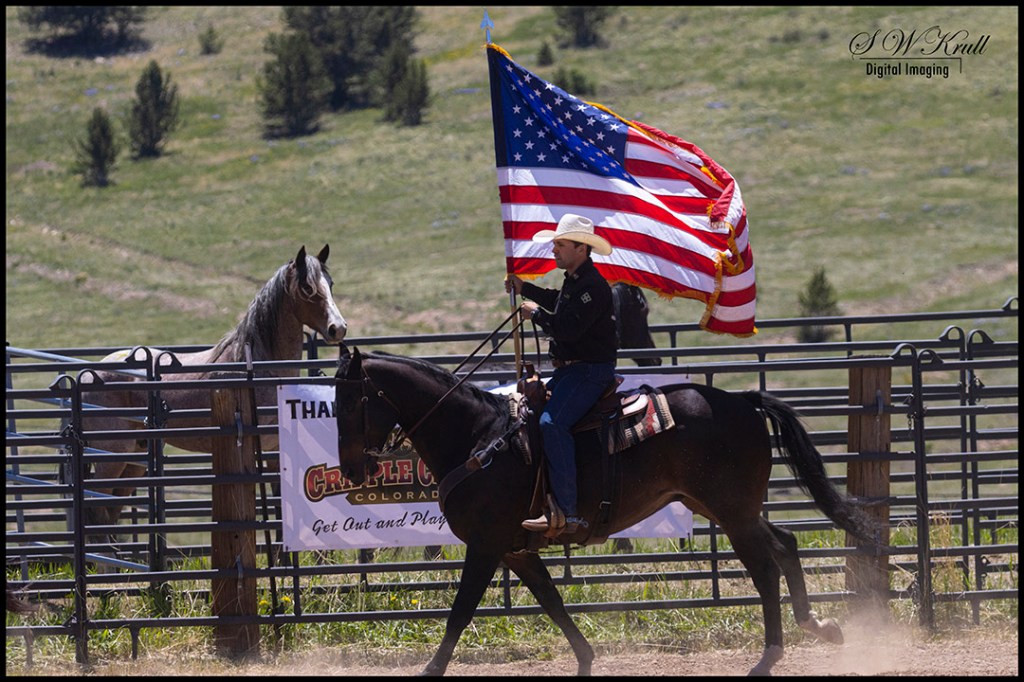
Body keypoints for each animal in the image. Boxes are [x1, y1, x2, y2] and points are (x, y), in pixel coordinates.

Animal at [80, 244, 347, 528]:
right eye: (307, 287)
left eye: (330, 283)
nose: (338, 328)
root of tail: (88, 376)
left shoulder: (275, 452)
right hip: (112, 455)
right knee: (97, 510)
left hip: (135, 458)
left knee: (111, 510)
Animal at [334, 348, 881, 676]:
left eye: (351, 402)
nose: (352, 469)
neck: (478, 437)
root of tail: (742, 400)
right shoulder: (516, 550)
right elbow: (553, 602)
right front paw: (585, 660)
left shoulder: (486, 546)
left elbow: (460, 611)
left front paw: (431, 670)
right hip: (727, 506)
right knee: (785, 545)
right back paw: (820, 626)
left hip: (731, 510)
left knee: (765, 568)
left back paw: (769, 657)